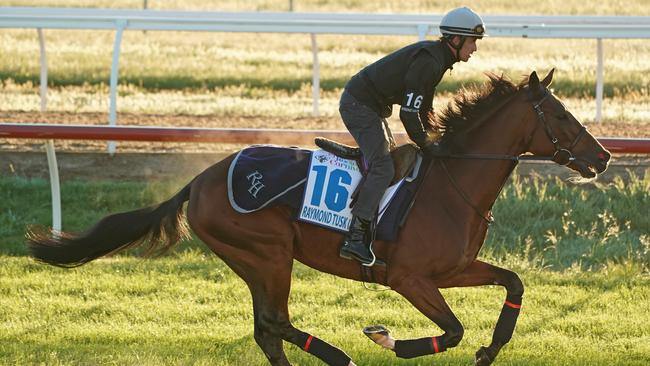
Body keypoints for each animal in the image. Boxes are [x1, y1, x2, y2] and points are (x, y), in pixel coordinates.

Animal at [27, 69, 612, 366]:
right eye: (561, 113)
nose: (603, 156)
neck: (452, 185)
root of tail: (200, 181)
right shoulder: (408, 278)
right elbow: (451, 330)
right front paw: (385, 338)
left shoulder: (453, 270)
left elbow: (512, 284)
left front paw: (491, 350)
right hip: (268, 254)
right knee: (274, 322)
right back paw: (339, 357)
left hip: (257, 260)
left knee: (266, 329)